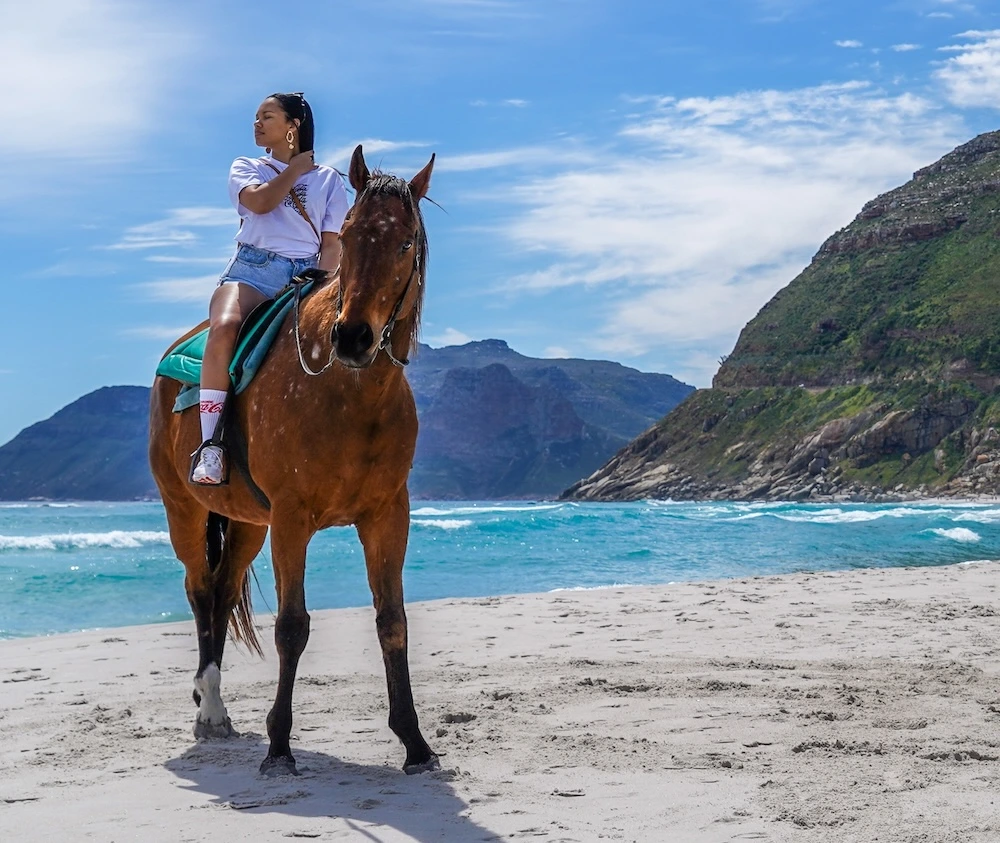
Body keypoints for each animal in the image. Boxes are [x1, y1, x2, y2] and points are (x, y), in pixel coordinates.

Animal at [148, 145, 438, 776]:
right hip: (185, 510)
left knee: (223, 591)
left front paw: (414, 741)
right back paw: (211, 709)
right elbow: (292, 627)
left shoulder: (386, 515)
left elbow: (392, 621)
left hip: (247, 523)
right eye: (349, 236)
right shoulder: (292, 518)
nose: (353, 337)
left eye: (405, 242)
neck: (350, 393)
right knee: (200, 591)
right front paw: (279, 745)